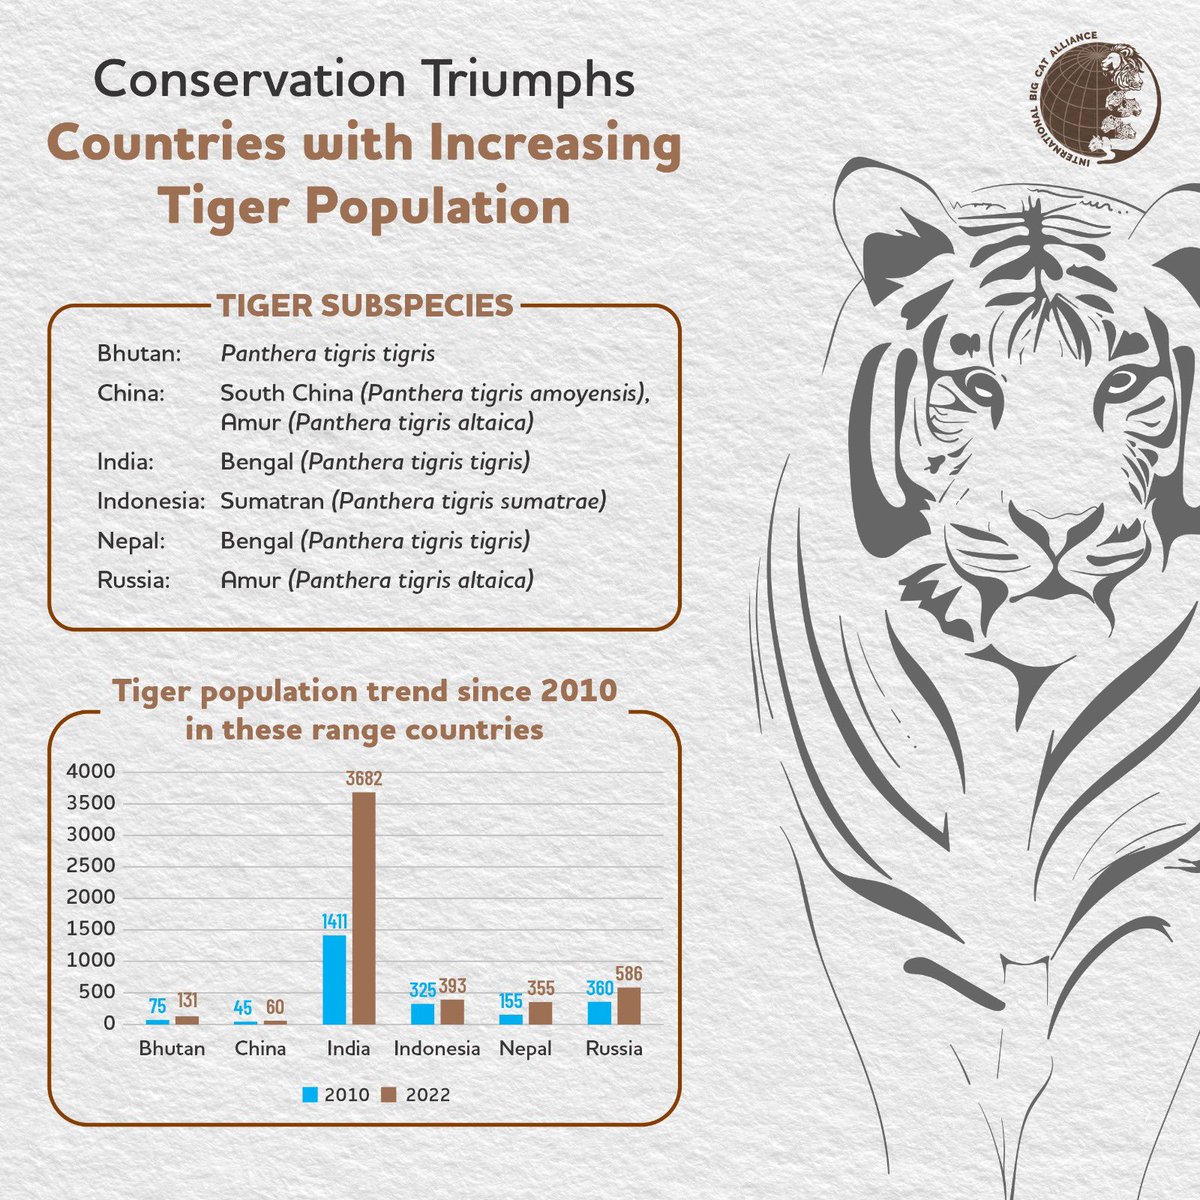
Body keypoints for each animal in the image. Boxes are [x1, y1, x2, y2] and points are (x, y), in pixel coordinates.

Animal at [755, 160, 1200, 1196]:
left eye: (1124, 382)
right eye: (977, 384)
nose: (1058, 524)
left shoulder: (1157, 893)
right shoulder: (886, 906)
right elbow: (935, 1115)